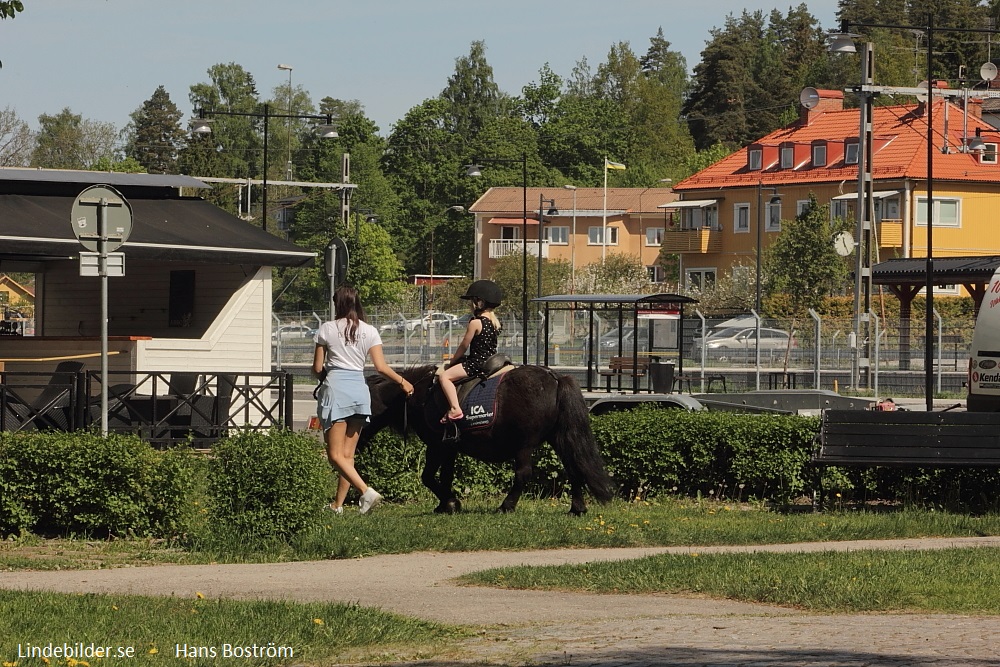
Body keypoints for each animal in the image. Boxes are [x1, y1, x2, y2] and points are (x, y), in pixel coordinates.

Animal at [364, 366, 612, 516]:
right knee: (573, 467)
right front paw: (445, 505)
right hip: (558, 437)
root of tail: (556, 378)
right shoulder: (449, 447)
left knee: (523, 474)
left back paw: (506, 506)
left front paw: (451, 503)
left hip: (524, 444)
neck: (419, 394)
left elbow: (427, 477)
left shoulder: (436, 446)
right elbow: (445, 476)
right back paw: (577, 508)